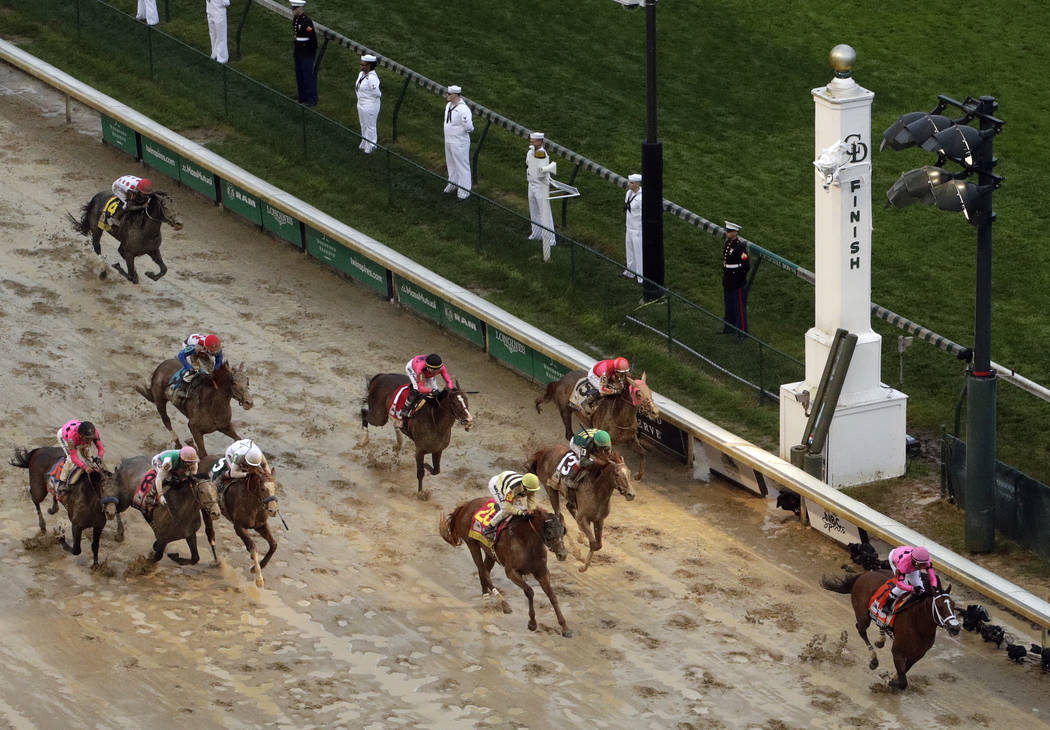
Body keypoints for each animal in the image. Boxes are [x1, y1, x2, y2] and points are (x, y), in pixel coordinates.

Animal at [436, 497, 571, 638]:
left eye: (563, 531)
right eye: (549, 532)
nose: (562, 554)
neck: (526, 540)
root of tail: (466, 505)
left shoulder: (542, 572)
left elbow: (552, 596)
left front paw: (565, 627)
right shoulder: (511, 572)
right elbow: (530, 591)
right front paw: (532, 623)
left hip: (490, 553)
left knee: (484, 571)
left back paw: (486, 597)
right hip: (472, 544)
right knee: (482, 571)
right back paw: (504, 604)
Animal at [529, 443, 634, 575]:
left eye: (629, 473)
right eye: (617, 474)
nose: (631, 494)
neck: (596, 489)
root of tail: (543, 451)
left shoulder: (599, 519)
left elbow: (598, 544)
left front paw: (584, 544)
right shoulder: (583, 518)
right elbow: (594, 543)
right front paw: (583, 567)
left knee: (568, 507)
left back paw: (581, 538)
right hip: (550, 489)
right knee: (559, 515)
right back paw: (576, 550)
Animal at [818, 571, 961, 689]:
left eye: (953, 605)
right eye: (940, 606)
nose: (955, 628)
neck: (918, 625)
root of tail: (863, 575)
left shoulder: (918, 655)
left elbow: (904, 671)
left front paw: (891, 677)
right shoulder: (897, 652)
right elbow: (903, 682)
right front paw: (888, 680)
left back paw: (881, 640)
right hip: (863, 615)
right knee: (861, 630)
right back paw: (874, 660)